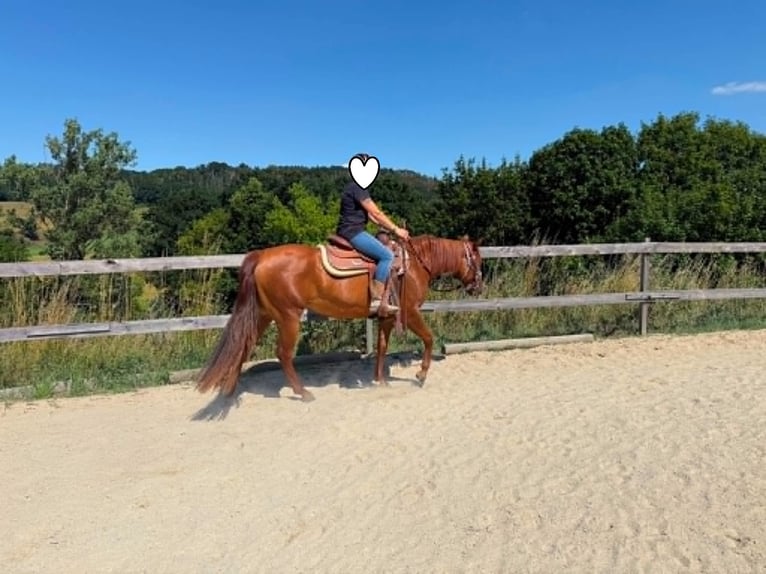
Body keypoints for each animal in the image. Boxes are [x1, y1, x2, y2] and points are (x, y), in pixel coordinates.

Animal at [194, 233, 484, 402]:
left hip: (264, 315)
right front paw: (421, 374)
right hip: (288, 317)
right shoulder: (410, 312)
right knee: (283, 354)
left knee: (244, 344)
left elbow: (382, 346)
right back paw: (303, 392)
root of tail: (263, 256)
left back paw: (230, 389)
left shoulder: (387, 317)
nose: (478, 287)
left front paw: (380, 380)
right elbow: (428, 338)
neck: (412, 265)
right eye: (477, 260)